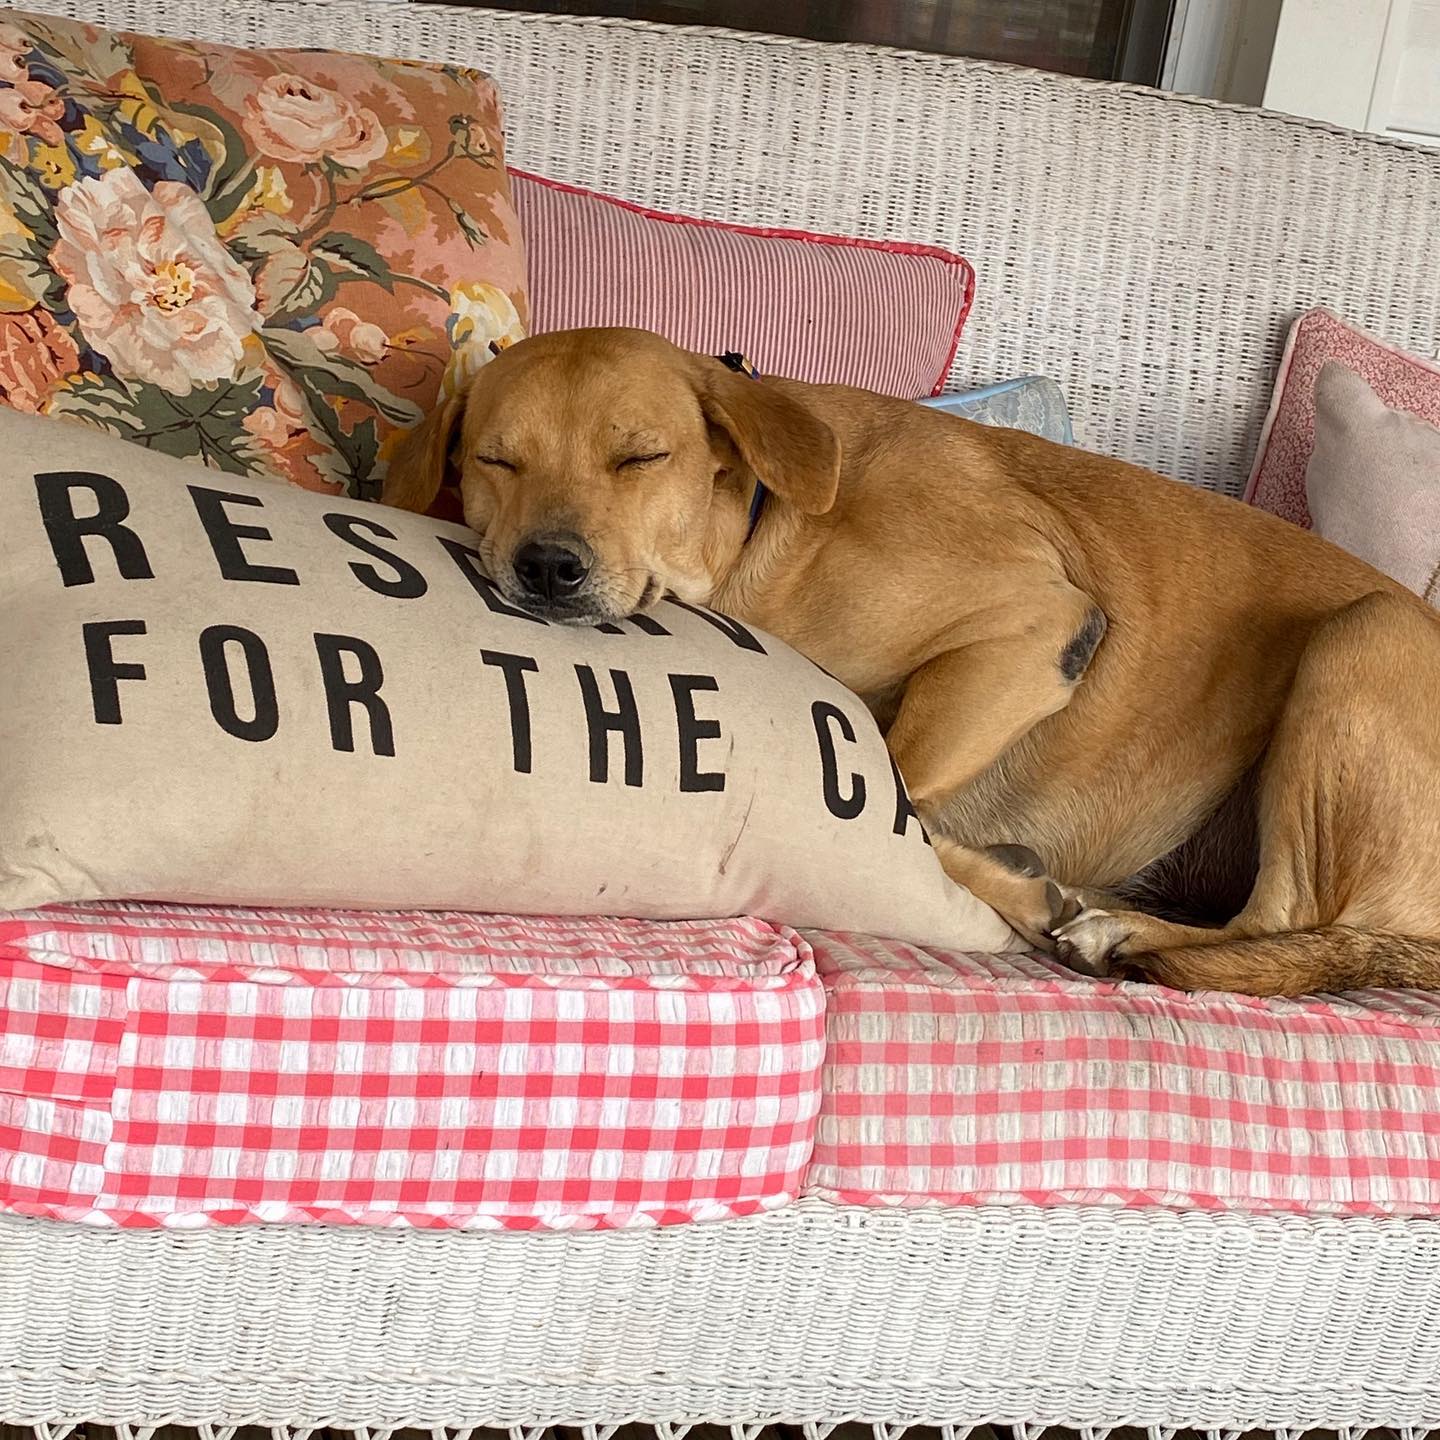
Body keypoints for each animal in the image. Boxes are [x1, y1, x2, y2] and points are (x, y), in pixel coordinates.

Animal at [380, 328, 1440, 996]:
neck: (769, 524)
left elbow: (896, 787)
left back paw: (1116, 929)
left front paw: (1014, 881)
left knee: (1282, 919)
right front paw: (1017, 879)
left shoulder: (1035, 621)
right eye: (493, 461)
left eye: (640, 458)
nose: (546, 567)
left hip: (1365, 633)